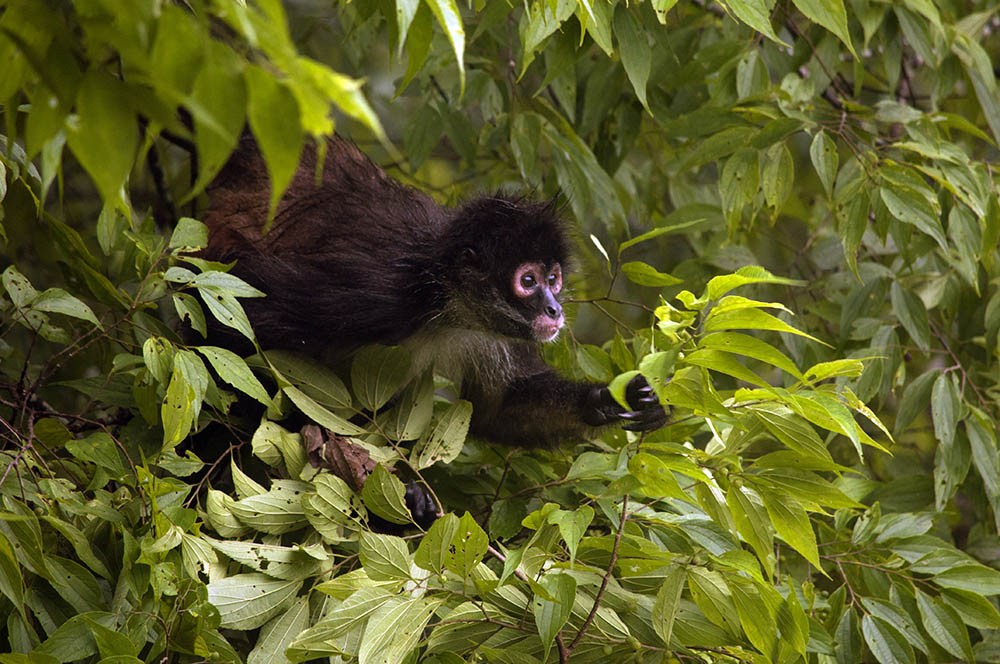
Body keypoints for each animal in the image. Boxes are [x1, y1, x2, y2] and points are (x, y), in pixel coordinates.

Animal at [199, 134, 668, 446]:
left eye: (552, 279)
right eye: (528, 281)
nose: (553, 309)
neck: (444, 303)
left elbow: (498, 410)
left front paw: (609, 400)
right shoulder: (378, 291)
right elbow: (230, 325)